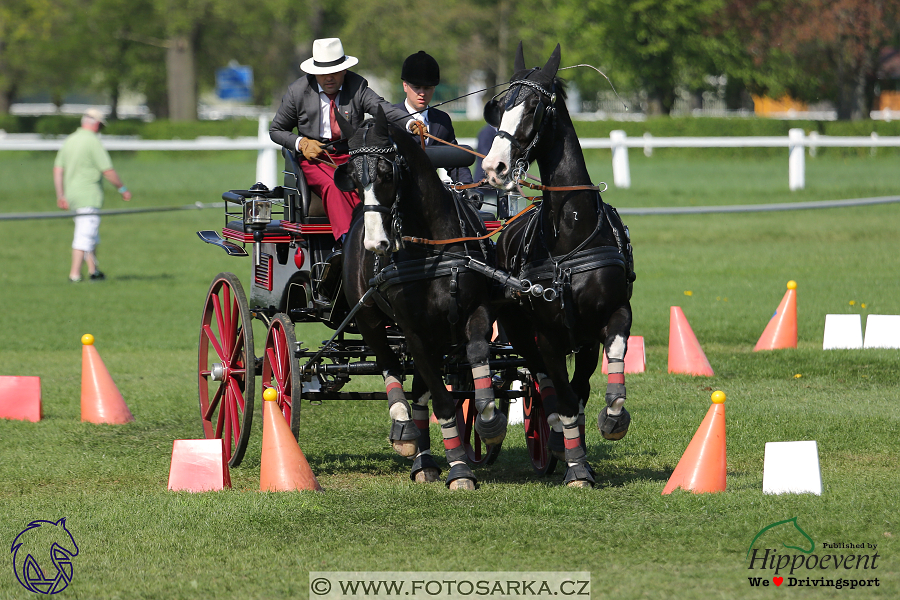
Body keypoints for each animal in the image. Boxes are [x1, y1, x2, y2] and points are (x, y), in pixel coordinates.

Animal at [334, 105, 506, 490]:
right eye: (352, 178)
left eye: (386, 173)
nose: (376, 244)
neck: (433, 250)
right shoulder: (412, 330)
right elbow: (442, 402)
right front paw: (460, 470)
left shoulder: (476, 311)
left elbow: (477, 355)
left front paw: (490, 423)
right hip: (369, 317)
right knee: (390, 365)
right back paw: (406, 434)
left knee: (419, 390)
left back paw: (424, 461)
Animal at [486, 44, 632, 490]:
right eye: (500, 106)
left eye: (535, 106)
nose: (494, 167)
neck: (570, 232)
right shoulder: (547, 335)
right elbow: (564, 397)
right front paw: (578, 467)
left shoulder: (610, 317)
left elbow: (603, 373)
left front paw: (613, 418)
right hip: (520, 332)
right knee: (543, 382)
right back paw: (552, 437)